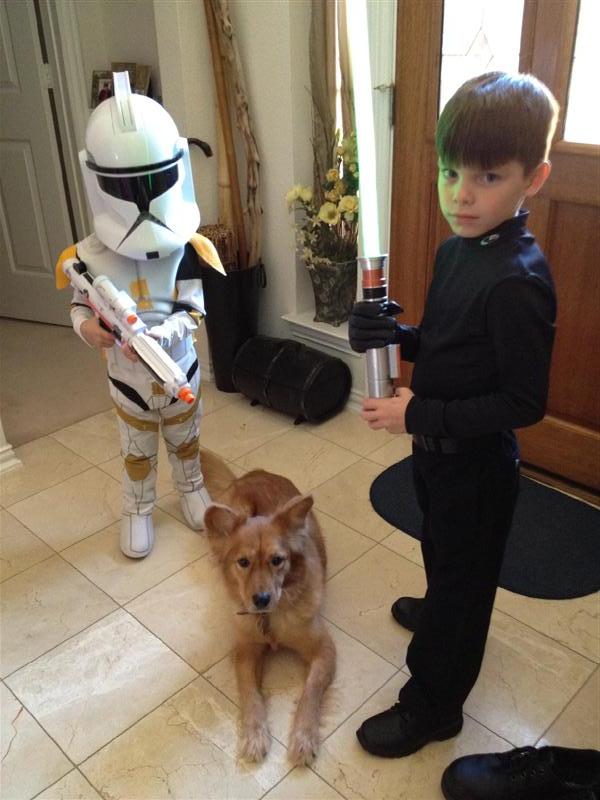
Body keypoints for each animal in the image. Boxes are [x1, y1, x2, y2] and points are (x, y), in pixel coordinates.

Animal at [204, 468, 336, 766]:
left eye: (277, 560)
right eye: (243, 562)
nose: (261, 599)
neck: (271, 620)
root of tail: (252, 474)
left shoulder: (324, 648)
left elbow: (310, 691)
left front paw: (304, 737)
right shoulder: (245, 652)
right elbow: (251, 695)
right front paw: (254, 736)